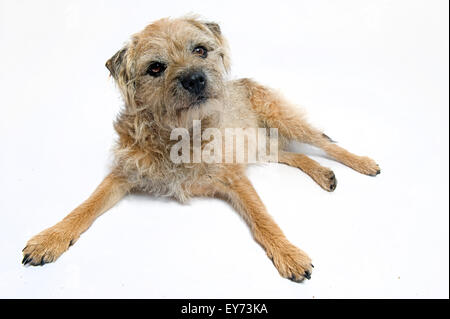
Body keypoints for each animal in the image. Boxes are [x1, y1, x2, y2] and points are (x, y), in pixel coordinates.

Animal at [21, 16, 380, 284]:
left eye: (200, 50)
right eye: (155, 67)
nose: (195, 79)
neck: (180, 135)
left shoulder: (234, 177)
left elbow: (263, 217)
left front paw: (287, 252)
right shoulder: (123, 175)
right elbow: (84, 206)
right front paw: (50, 238)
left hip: (283, 119)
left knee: (326, 143)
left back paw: (362, 163)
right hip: (258, 144)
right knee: (289, 154)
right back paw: (323, 173)